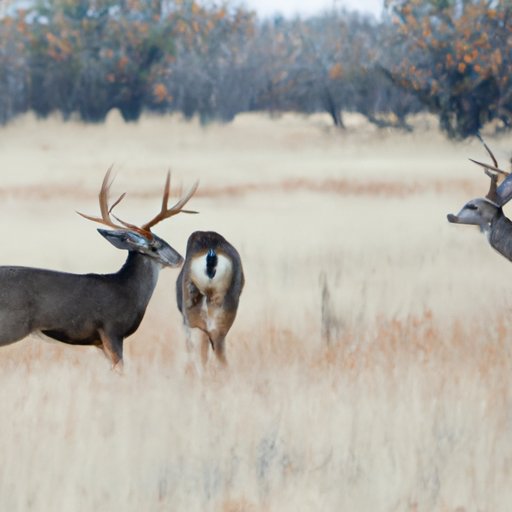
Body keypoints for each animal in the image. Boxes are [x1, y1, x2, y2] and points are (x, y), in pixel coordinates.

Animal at [0, 170, 198, 370]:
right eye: (157, 244)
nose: (180, 258)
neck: (129, 290)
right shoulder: (111, 330)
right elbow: (121, 369)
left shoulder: (99, 343)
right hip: (10, 325)